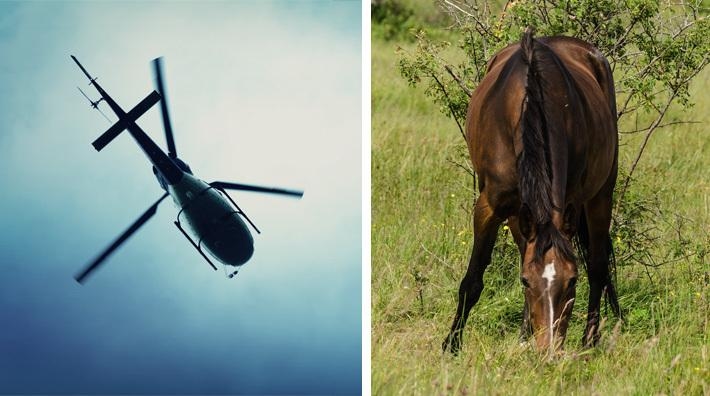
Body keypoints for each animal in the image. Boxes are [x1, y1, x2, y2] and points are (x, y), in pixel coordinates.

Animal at [444, 27, 624, 354]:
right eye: (526, 282)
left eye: (572, 281)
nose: (548, 349)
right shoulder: (490, 205)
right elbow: (473, 279)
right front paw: (451, 345)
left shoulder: (570, 202)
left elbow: (593, 268)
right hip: (519, 210)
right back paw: (524, 334)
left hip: (601, 194)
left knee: (598, 266)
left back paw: (589, 340)